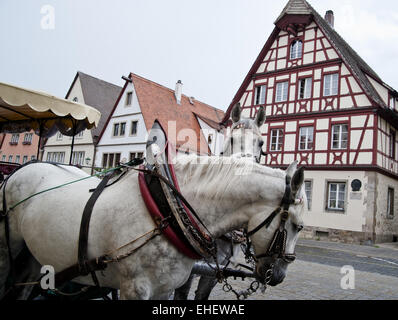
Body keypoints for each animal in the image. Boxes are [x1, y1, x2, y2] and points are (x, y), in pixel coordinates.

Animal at [0, 154, 306, 298]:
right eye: (298, 225)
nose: (279, 276)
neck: (167, 212)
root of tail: (21, 169)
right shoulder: (134, 289)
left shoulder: (164, 289)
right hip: (8, 247)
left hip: (35, 257)